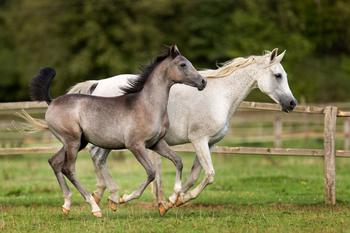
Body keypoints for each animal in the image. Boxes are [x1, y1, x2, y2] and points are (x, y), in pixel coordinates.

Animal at [30, 45, 206, 217]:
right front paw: (123, 199)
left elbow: (178, 161)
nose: (203, 82)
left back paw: (66, 205)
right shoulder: (135, 145)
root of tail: (52, 101)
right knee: (68, 169)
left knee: (55, 162)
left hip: (77, 142)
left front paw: (172, 199)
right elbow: (151, 172)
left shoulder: (156, 143)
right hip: (72, 141)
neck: (148, 105)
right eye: (183, 64)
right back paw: (95, 208)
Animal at [67, 48, 296, 214]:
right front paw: (173, 199)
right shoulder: (199, 140)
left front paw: (173, 201)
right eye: (278, 75)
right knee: (96, 157)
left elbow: (194, 176)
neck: (219, 96)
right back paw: (112, 197)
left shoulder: (209, 143)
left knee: (98, 158)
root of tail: (98, 84)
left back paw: (106, 197)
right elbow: (210, 175)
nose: (292, 104)